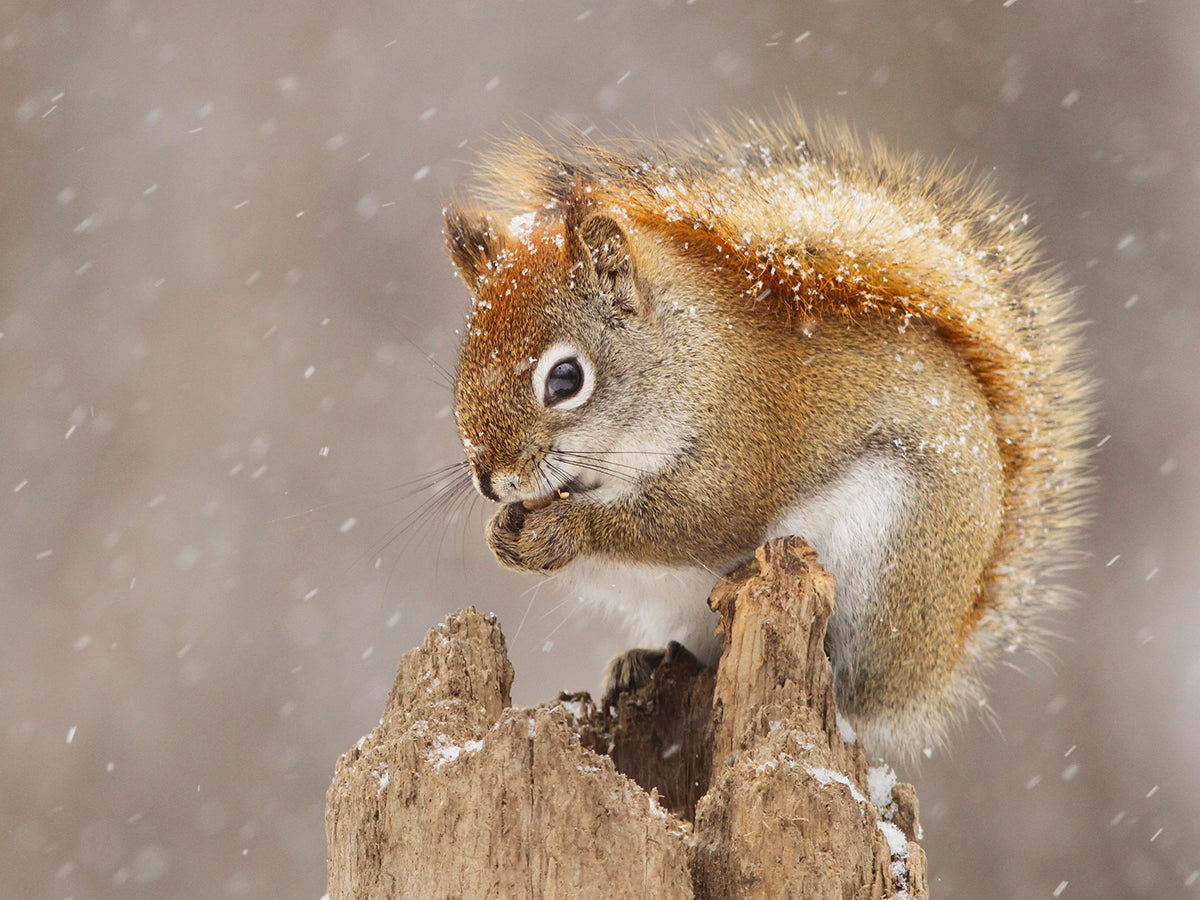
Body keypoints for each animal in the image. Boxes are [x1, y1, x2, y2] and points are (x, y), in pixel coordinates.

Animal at [444, 111, 1099, 763]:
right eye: (461, 368)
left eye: (565, 378)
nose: (490, 480)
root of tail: (935, 664)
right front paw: (503, 533)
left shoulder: (743, 445)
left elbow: (696, 520)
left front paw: (562, 531)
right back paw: (640, 663)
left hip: (891, 559)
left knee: (853, 688)